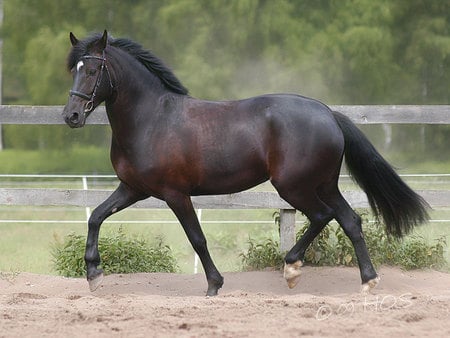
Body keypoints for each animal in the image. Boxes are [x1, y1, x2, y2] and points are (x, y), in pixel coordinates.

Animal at [62, 31, 428, 296]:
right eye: (74, 70)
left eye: (93, 70)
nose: (71, 116)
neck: (151, 119)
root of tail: (328, 114)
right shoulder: (133, 189)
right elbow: (95, 217)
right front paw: (94, 274)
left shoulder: (175, 194)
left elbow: (197, 238)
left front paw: (214, 285)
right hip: (323, 184)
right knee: (350, 220)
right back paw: (368, 280)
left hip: (293, 186)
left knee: (323, 216)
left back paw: (292, 269)